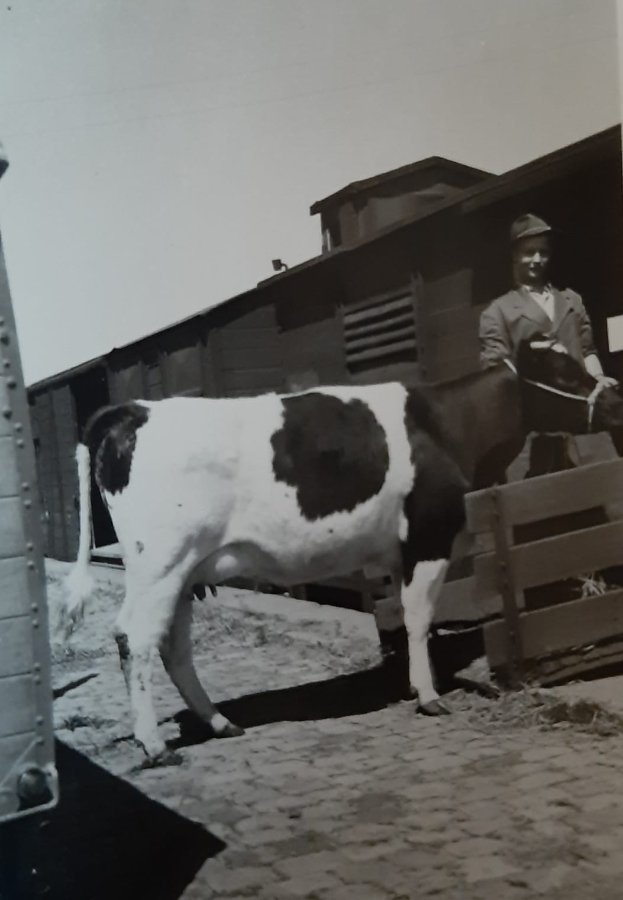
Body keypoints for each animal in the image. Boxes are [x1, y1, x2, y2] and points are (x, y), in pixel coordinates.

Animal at [58, 337, 623, 764]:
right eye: (562, 370)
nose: (616, 398)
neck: (444, 424)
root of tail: (134, 410)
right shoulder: (429, 536)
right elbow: (420, 618)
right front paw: (429, 696)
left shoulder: (396, 551)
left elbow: (404, 617)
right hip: (159, 562)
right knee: (134, 638)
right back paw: (156, 746)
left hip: (182, 572)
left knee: (172, 646)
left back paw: (220, 723)